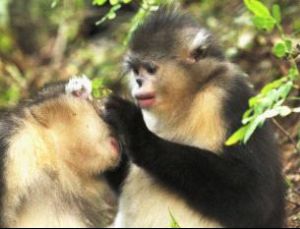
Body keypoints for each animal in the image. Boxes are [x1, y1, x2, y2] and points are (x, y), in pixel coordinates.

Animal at [104, 8, 284, 228]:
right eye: (136, 71)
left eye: (150, 69)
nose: (138, 82)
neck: (191, 96)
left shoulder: (228, 96)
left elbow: (255, 199)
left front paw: (136, 132)